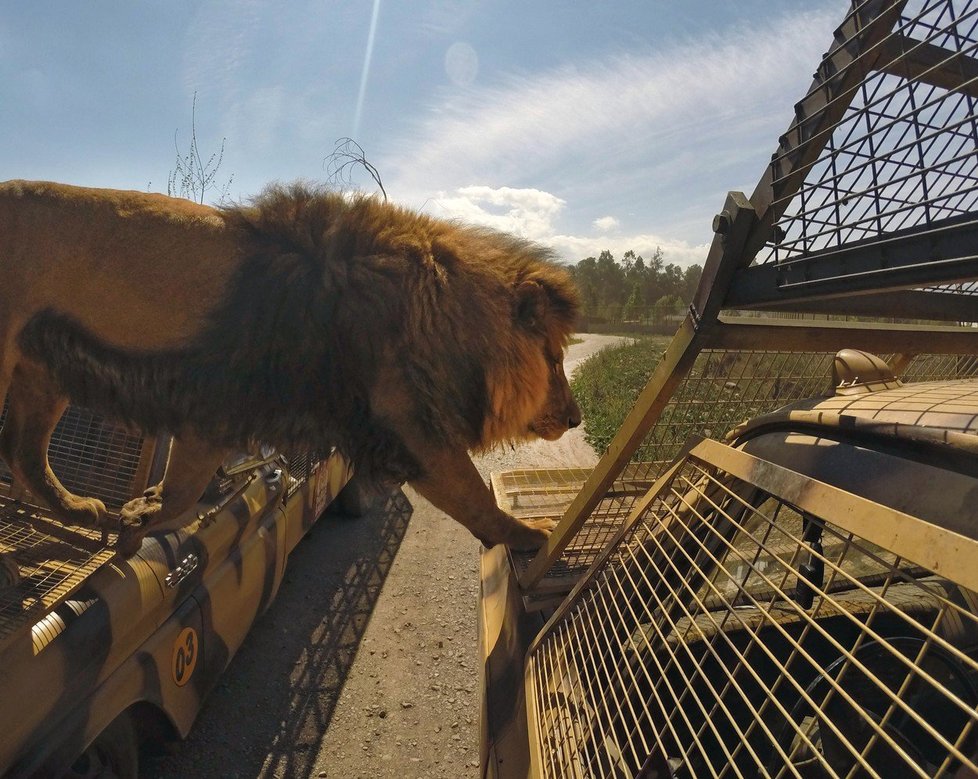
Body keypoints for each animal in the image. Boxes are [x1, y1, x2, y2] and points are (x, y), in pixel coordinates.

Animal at [0, 178, 580, 556]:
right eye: (554, 359)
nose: (575, 418)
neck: (438, 312)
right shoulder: (411, 428)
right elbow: (473, 497)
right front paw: (533, 535)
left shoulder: (214, 413)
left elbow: (182, 488)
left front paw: (139, 516)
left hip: (42, 370)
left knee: (25, 454)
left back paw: (82, 510)